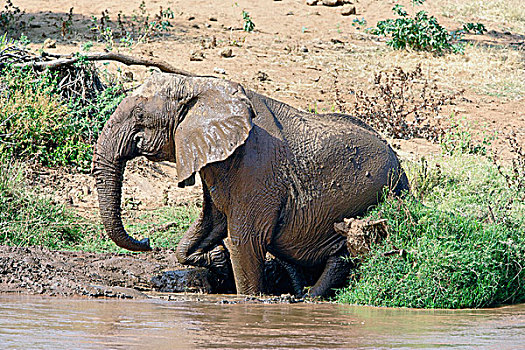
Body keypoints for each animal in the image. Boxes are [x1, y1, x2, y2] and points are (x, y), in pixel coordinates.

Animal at [92, 72, 408, 296]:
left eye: (140, 116)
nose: (147, 242)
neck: (199, 84)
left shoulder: (255, 166)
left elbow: (246, 242)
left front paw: (249, 298)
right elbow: (210, 224)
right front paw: (217, 258)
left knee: (342, 253)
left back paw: (307, 296)